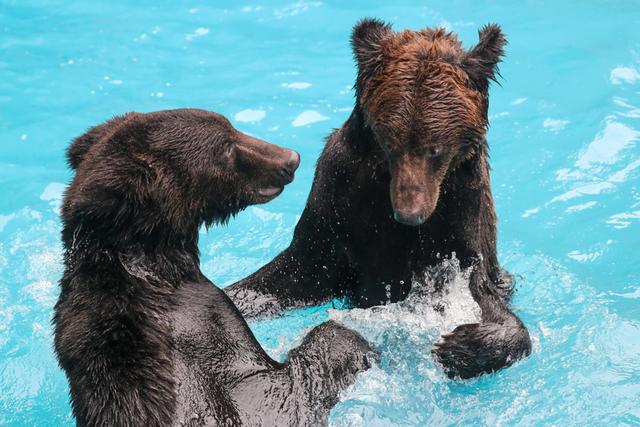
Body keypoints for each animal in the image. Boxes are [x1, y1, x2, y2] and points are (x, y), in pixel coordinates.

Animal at [228, 19, 532, 382]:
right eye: (391, 143)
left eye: (435, 149)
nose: (409, 214)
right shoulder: (338, 203)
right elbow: (290, 276)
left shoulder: (462, 211)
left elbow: (482, 294)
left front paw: (459, 346)